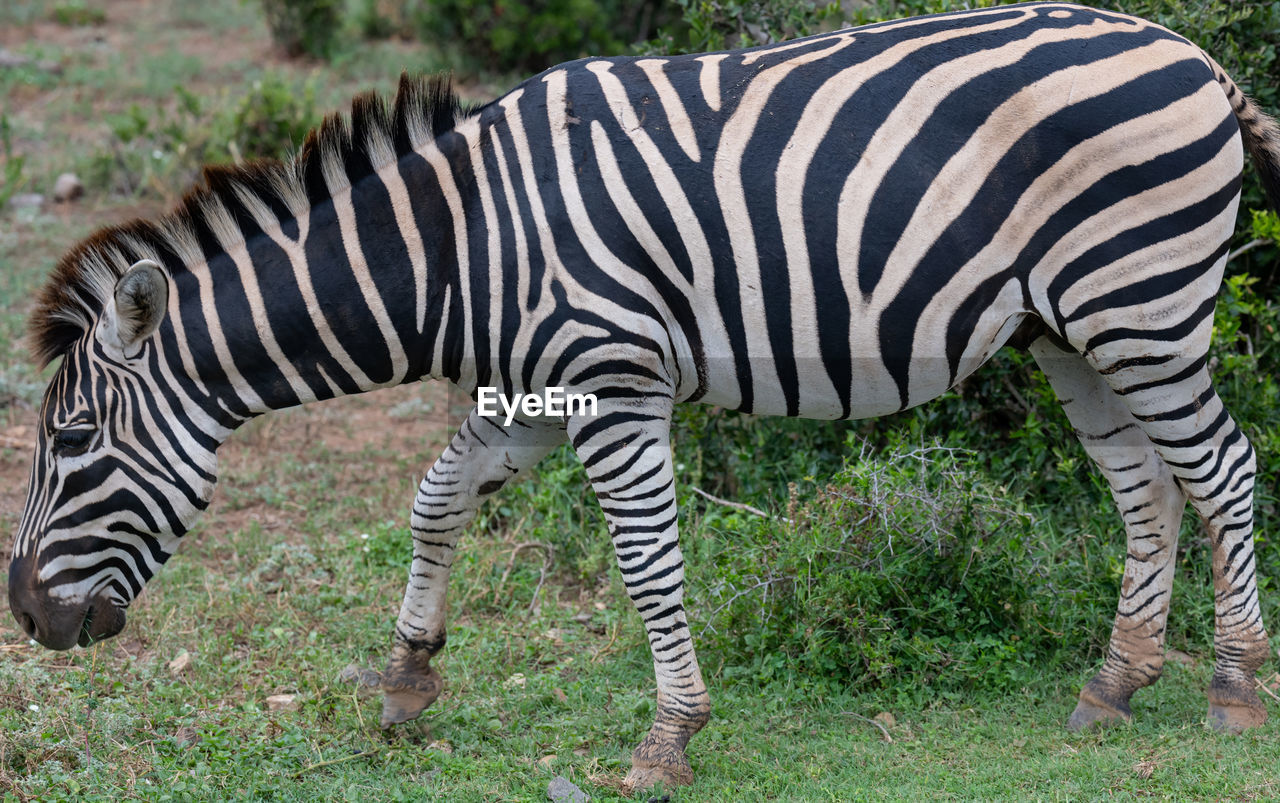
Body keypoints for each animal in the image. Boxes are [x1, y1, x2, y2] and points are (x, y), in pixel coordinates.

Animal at [10, 0, 1280, 794]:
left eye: (69, 443)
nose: (25, 615)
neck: (460, 250)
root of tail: (1195, 58)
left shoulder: (612, 381)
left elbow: (647, 563)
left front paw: (668, 736)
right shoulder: (533, 390)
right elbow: (432, 499)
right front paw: (407, 676)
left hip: (1139, 302)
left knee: (1219, 468)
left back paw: (1230, 682)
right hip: (1072, 327)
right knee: (1146, 486)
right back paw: (1113, 681)